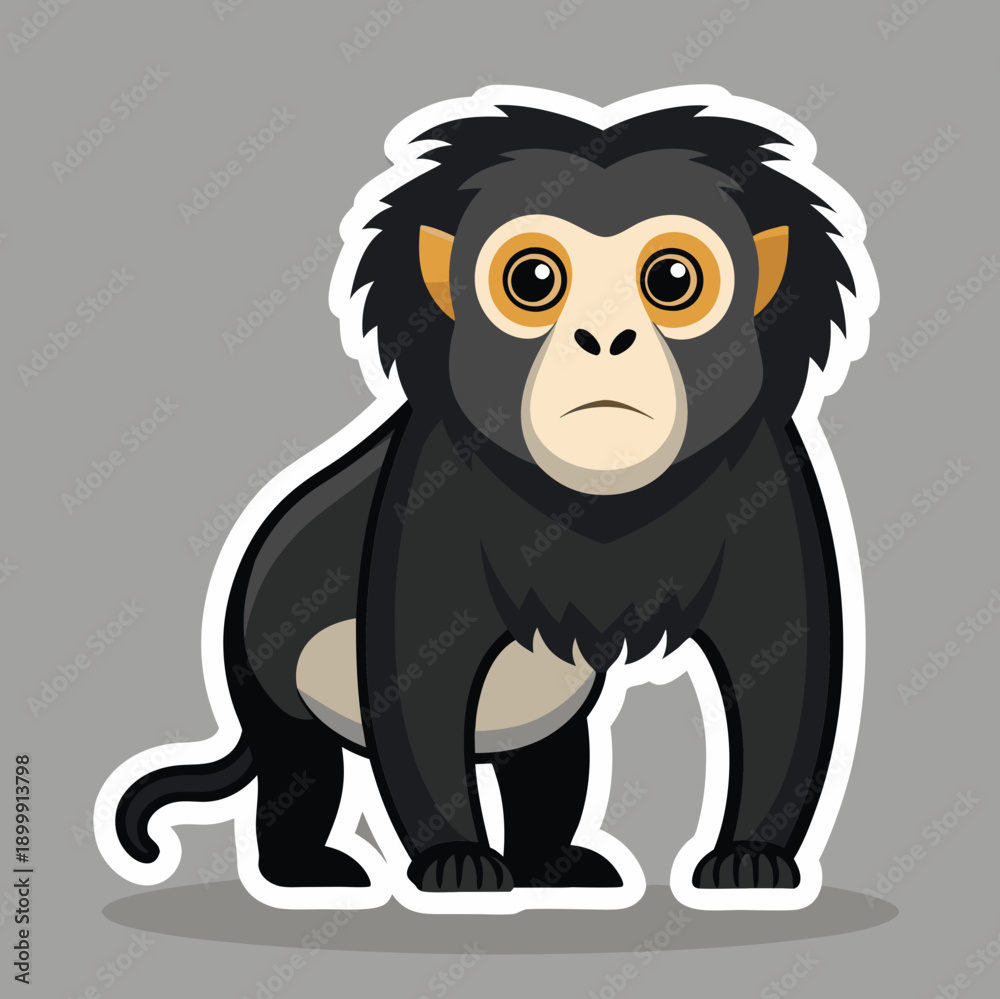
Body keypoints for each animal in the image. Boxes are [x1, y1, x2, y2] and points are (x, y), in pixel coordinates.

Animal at [105, 88, 875, 902]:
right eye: (533, 281)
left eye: (672, 279)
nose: (605, 339)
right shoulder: (432, 497)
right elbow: (416, 687)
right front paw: (454, 864)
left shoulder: (768, 478)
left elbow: (784, 676)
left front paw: (751, 859)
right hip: (274, 689)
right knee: (300, 773)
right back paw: (307, 870)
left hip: (546, 717)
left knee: (549, 767)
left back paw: (556, 869)